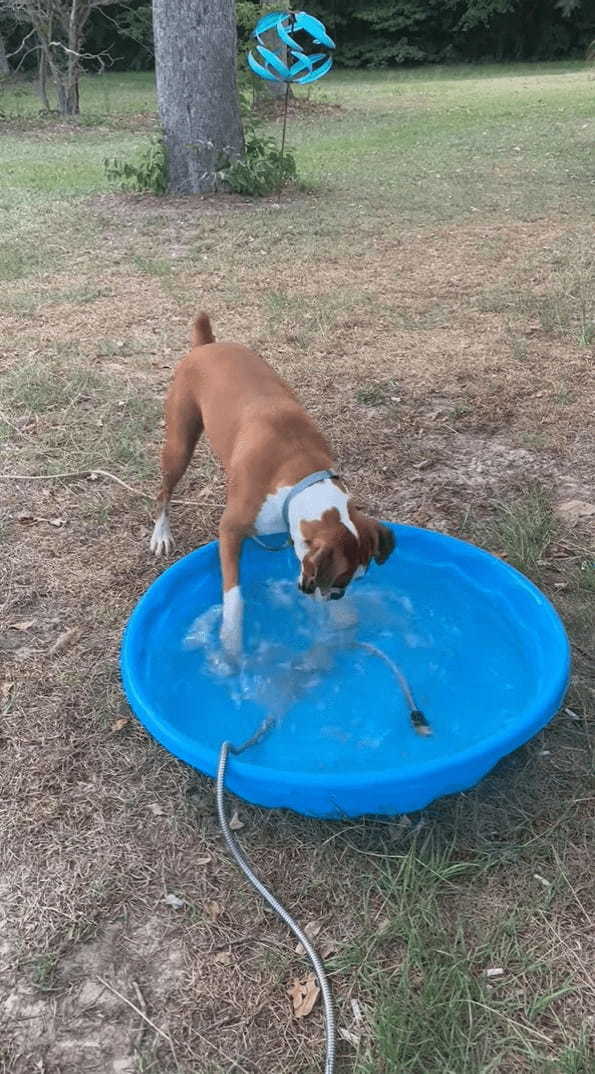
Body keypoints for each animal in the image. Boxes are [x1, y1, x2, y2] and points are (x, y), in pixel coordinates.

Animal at [150, 313, 393, 652]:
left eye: (354, 581)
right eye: (340, 581)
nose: (337, 596)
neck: (298, 471)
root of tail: (206, 345)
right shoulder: (229, 532)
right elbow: (234, 598)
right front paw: (231, 641)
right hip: (179, 446)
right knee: (164, 491)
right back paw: (161, 533)